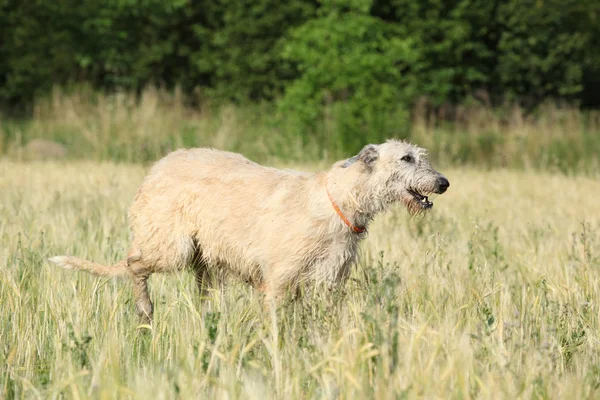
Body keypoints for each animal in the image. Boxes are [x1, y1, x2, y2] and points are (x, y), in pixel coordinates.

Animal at [49, 141, 448, 322]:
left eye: (421, 156)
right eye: (406, 158)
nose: (443, 183)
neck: (337, 199)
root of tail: (155, 168)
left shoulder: (328, 280)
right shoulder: (279, 279)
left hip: (204, 261)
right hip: (169, 243)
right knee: (134, 263)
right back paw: (145, 310)